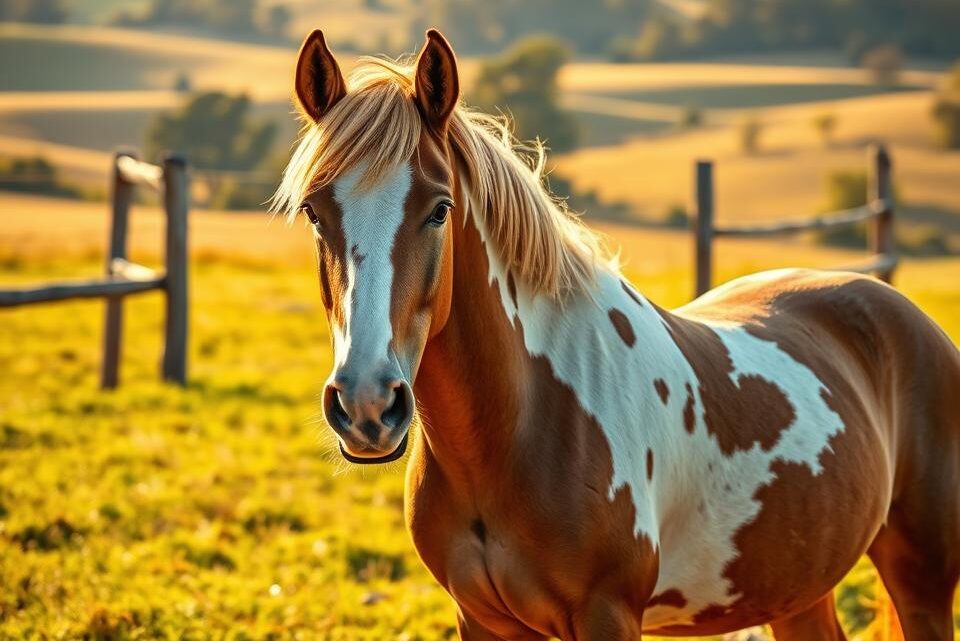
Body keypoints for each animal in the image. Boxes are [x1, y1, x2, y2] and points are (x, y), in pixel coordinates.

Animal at [272, 28, 960, 641]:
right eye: (313, 212)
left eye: (440, 209)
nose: (367, 404)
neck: (521, 425)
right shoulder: (482, 621)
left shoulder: (608, 614)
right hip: (797, 591)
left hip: (921, 581)